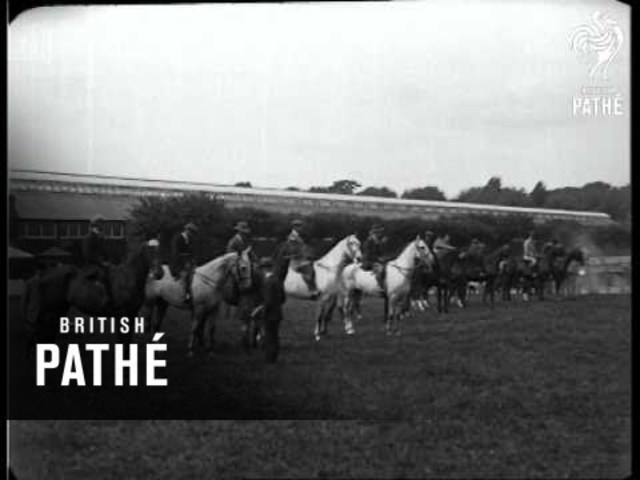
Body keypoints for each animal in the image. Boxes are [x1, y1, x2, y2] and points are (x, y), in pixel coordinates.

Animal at [21, 248, 160, 356]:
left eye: (161, 250)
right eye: (150, 252)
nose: (159, 272)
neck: (128, 279)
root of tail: (43, 275)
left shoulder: (131, 316)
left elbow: (127, 343)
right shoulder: (122, 316)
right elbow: (123, 342)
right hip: (49, 312)